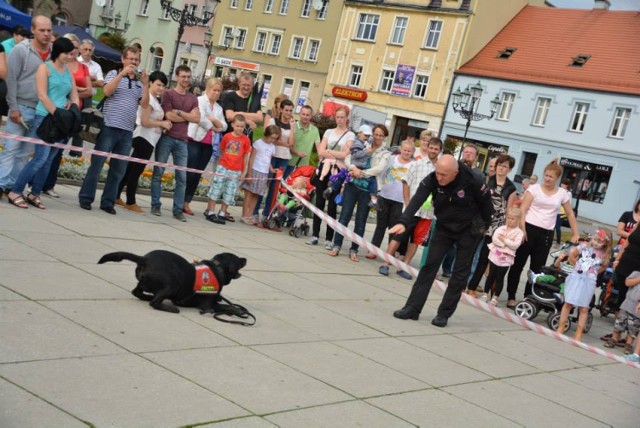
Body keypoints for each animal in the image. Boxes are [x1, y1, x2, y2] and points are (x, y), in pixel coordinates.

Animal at [100, 249, 248, 312]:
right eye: (238, 260)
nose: (245, 258)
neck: (218, 269)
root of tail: (145, 259)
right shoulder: (208, 305)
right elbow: (227, 306)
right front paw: (238, 310)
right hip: (173, 285)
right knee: (154, 303)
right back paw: (170, 308)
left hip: (143, 282)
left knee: (136, 292)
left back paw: (149, 297)